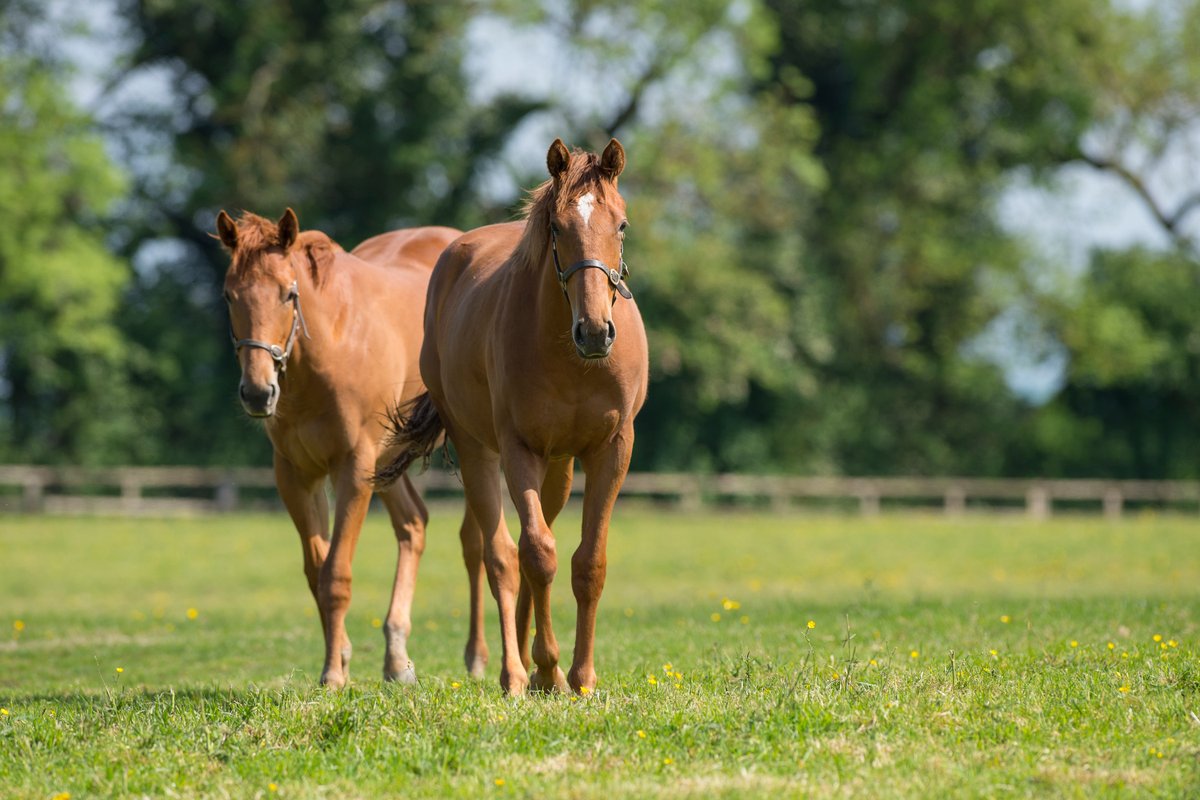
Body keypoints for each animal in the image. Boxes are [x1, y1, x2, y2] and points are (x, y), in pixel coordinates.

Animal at [216, 208, 491, 687]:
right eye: (229, 295)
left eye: (289, 293)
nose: (257, 392)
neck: (333, 343)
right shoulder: (296, 475)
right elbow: (316, 571)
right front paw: (341, 657)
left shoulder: (354, 468)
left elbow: (336, 575)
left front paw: (332, 675)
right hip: (388, 460)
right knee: (414, 525)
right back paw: (397, 659)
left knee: (473, 544)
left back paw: (476, 658)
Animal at [376, 139, 649, 695]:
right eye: (556, 228)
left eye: (622, 225)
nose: (595, 331)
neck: (572, 358)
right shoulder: (519, 449)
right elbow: (537, 554)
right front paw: (545, 666)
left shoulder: (613, 449)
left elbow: (588, 562)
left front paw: (581, 677)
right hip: (478, 450)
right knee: (500, 554)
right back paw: (516, 670)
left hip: (559, 469)